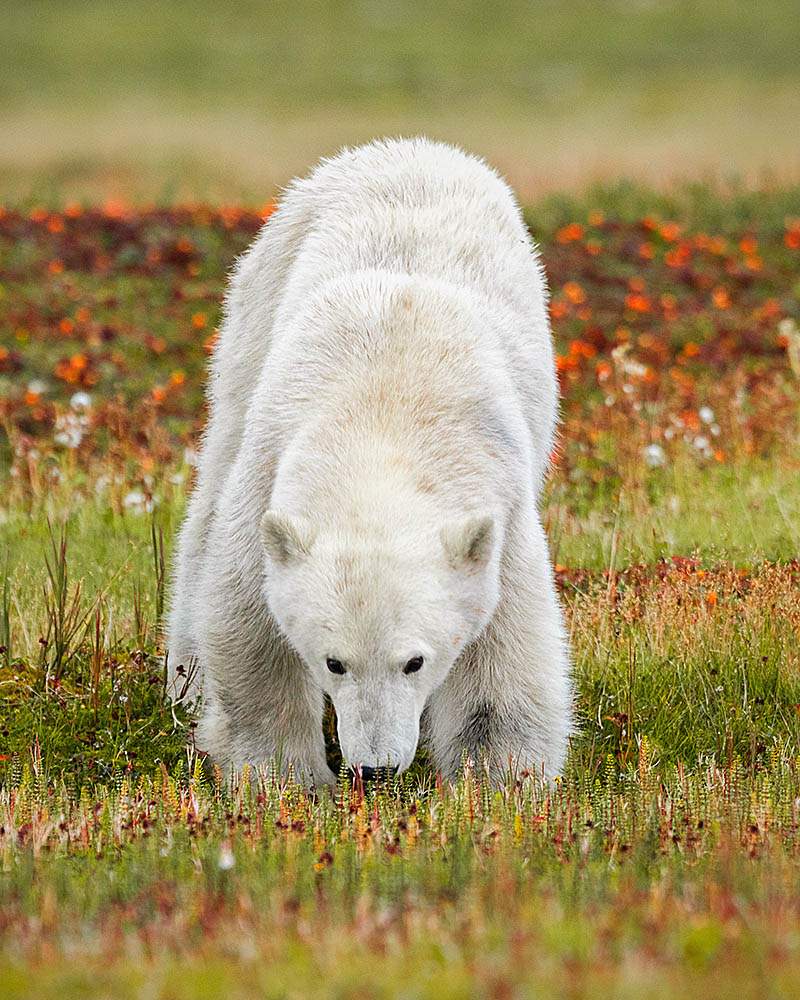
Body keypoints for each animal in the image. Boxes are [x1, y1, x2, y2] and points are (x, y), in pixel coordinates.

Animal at [167, 135, 568, 788]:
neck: (386, 406)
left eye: (415, 661)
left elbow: (506, 642)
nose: (375, 769)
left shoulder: (501, 502)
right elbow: (246, 616)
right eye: (334, 662)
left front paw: (499, 781)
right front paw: (287, 778)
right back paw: (185, 683)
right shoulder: (272, 462)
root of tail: (413, 146)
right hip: (256, 306)